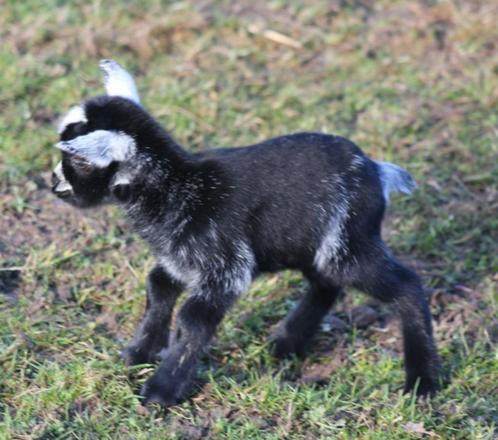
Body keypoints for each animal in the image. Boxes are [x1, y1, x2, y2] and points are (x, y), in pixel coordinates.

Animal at [51, 59, 440, 406]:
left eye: (75, 162)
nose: (53, 183)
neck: (178, 186)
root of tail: (376, 171)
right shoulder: (178, 261)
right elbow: (157, 290)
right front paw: (137, 354)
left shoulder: (224, 268)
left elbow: (192, 320)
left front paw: (161, 391)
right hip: (312, 244)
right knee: (325, 282)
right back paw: (286, 343)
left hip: (347, 242)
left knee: (406, 285)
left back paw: (422, 382)